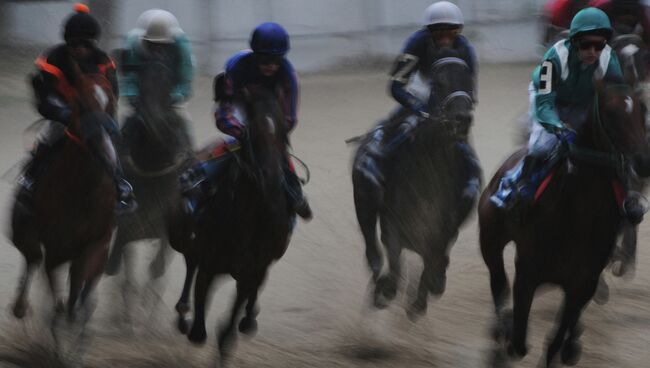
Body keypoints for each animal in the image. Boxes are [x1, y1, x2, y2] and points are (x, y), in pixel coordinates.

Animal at [10, 59, 116, 320]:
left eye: (111, 102)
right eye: (81, 102)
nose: (106, 155)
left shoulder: (97, 242)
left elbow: (79, 287)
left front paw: (77, 315)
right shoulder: (55, 244)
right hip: (23, 231)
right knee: (32, 258)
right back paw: (21, 305)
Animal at [167, 86, 292, 362]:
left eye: (281, 130)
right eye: (252, 129)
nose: (270, 176)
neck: (246, 219)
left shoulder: (248, 272)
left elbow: (226, 334)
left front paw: (239, 325)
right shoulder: (209, 266)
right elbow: (198, 332)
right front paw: (188, 320)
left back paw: (248, 319)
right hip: (180, 236)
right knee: (189, 260)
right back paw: (183, 311)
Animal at [350, 47, 480, 320]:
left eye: (468, 80)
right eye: (439, 82)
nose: (462, 119)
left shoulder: (443, 229)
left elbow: (433, 260)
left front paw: (420, 300)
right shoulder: (392, 224)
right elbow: (393, 264)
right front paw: (385, 292)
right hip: (364, 201)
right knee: (373, 252)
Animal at [476, 80, 648, 366]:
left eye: (642, 110)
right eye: (610, 113)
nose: (643, 160)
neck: (579, 215)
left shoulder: (583, 283)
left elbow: (555, 342)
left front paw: (568, 346)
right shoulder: (527, 275)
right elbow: (518, 341)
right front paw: (507, 334)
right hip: (490, 240)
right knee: (499, 285)